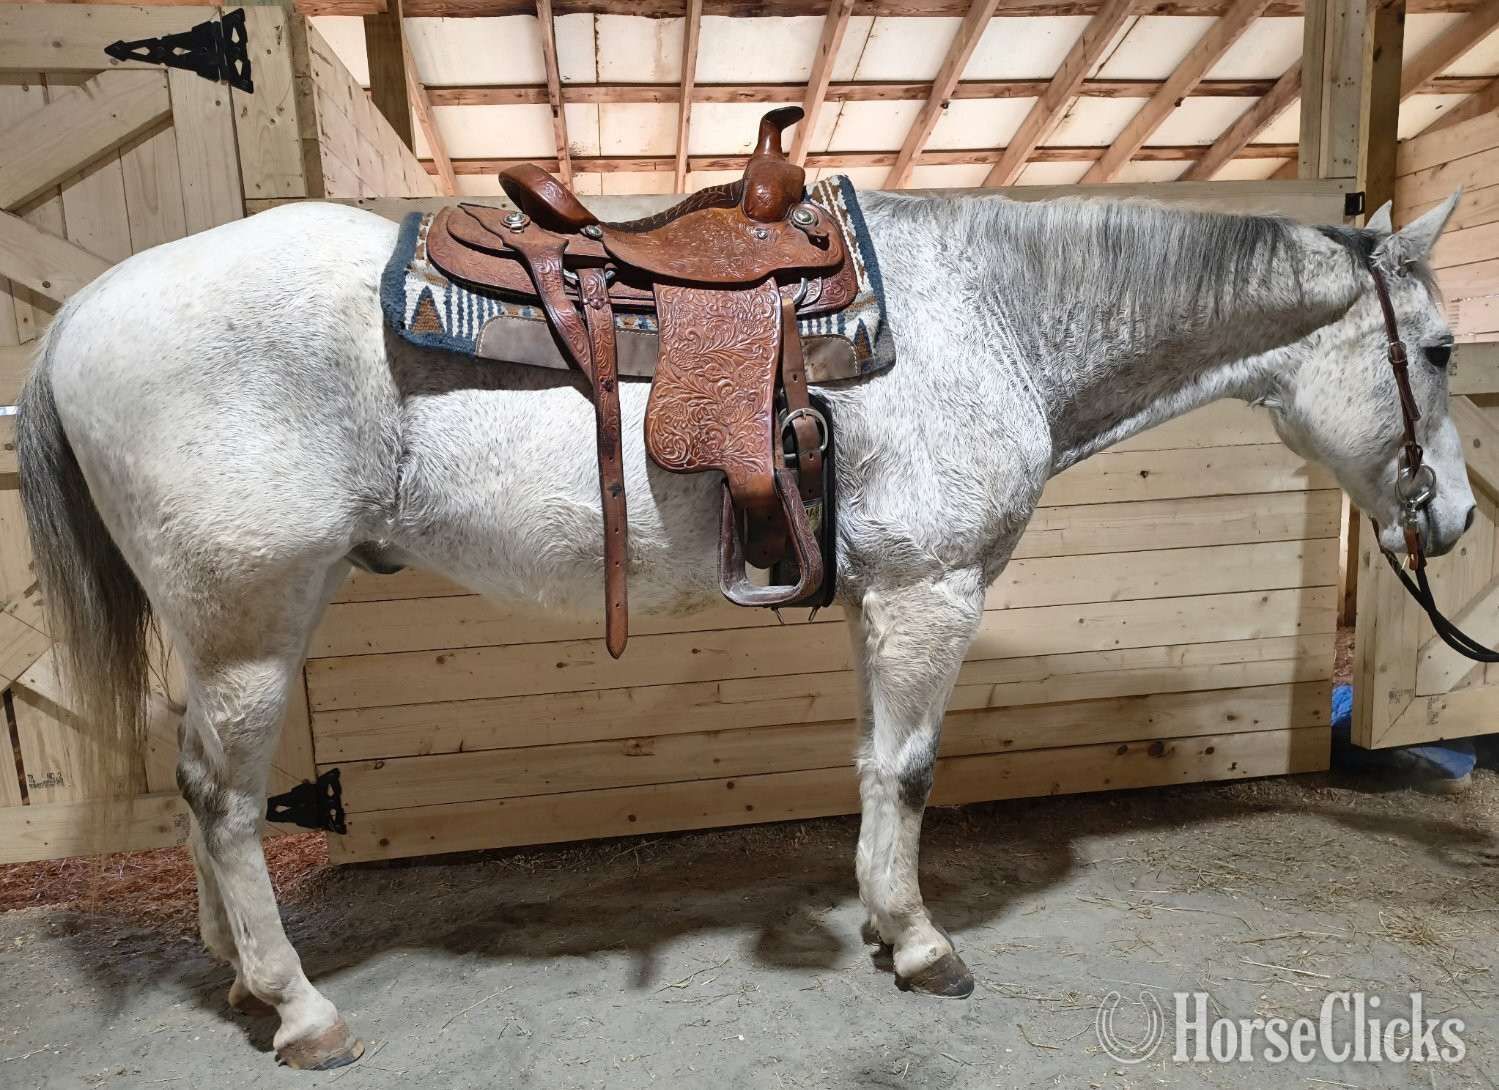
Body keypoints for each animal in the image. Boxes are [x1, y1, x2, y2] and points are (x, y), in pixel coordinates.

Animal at [17, 186, 1466, 1070]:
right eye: (1446, 349)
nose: (1450, 515)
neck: (986, 314)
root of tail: (82, 311)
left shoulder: (881, 598)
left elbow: (872, 766)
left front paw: (881, 921)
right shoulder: (933, 589)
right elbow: (911, 771)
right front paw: (921, 943)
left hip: (214, 628)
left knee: (201, 790)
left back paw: (237, 974)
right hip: (251, 620)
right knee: (223, 799)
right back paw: (301, 1006)